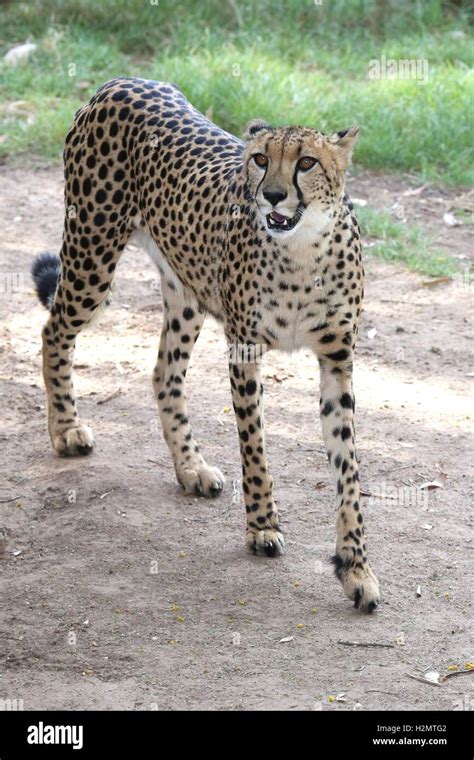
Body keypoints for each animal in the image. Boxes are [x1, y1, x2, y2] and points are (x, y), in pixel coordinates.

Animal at [31, 77, 382, 612]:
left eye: (306, 162)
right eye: (259, 158)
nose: (273, 195)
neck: (302, 252)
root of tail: (121, 81)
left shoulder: (337, 361)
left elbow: (349, 472)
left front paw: (356, 568)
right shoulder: (244, 352)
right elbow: (255, 449)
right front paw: (262, 527)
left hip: (186, 290)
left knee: (164, 373)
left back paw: (191, 467)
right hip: (92, 255)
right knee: (55, 332)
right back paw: (67, 430)